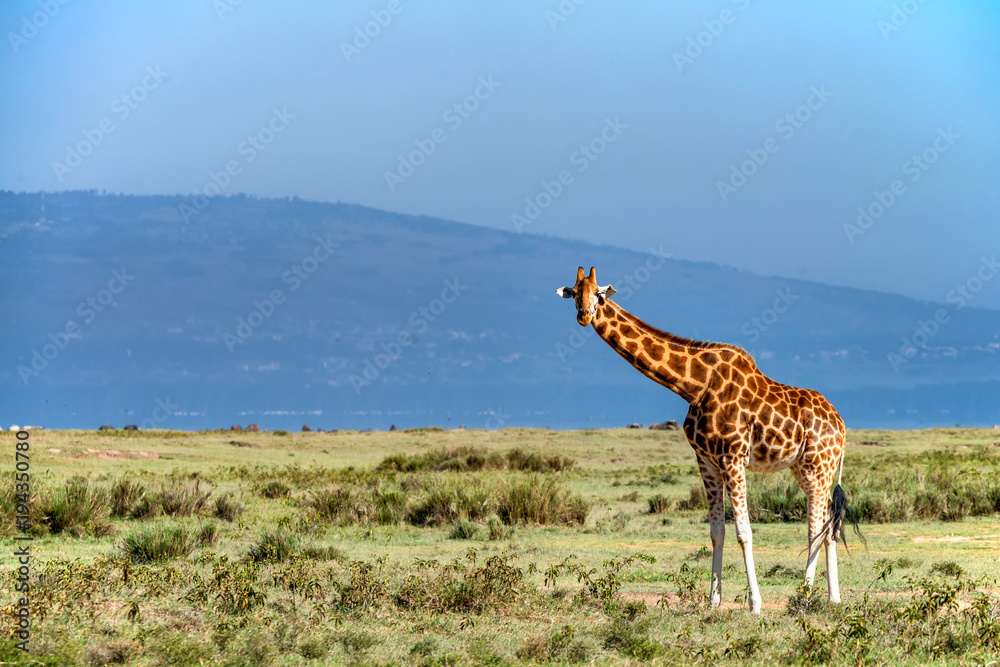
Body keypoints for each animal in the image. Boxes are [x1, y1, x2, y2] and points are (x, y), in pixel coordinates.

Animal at [556, 267, 861, 613]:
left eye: (599, 295)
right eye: (575, 293)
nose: (584, 315)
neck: (695, 386)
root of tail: (842, 425)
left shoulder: (733, 457)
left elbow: (744, 532)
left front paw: (755, 604)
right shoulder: (706, 461)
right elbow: (717, 531)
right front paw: (713, 601)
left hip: (817, 466)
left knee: (816, 528)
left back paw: (804, 597)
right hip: (806, 467)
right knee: (830, 525)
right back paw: (833, 598)